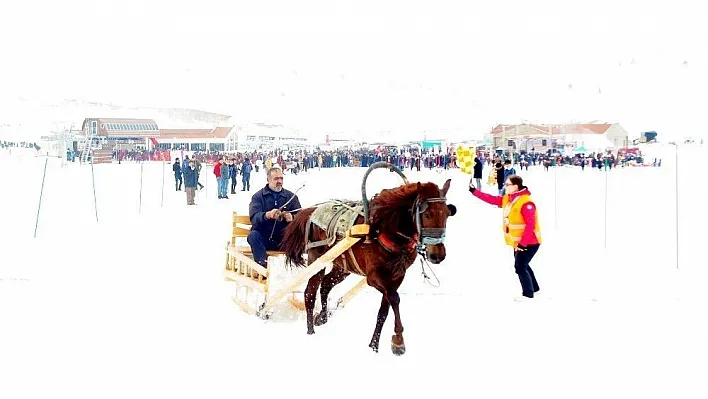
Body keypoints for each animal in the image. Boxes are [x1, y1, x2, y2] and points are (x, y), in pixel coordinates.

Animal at [280, 180, 456, 354]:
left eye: (447, 214)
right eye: (427, 214)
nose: (437, 255)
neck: (385, 228)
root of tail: (312, 210)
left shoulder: (397, 276)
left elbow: (384, 311)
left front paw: (374, 346)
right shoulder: (374, 277)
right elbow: (395, 298)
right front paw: (398, 340)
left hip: (342, 267)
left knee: (325, 285)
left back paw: (322, 316)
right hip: (317, 259)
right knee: (310, 293)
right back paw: (310, 331)